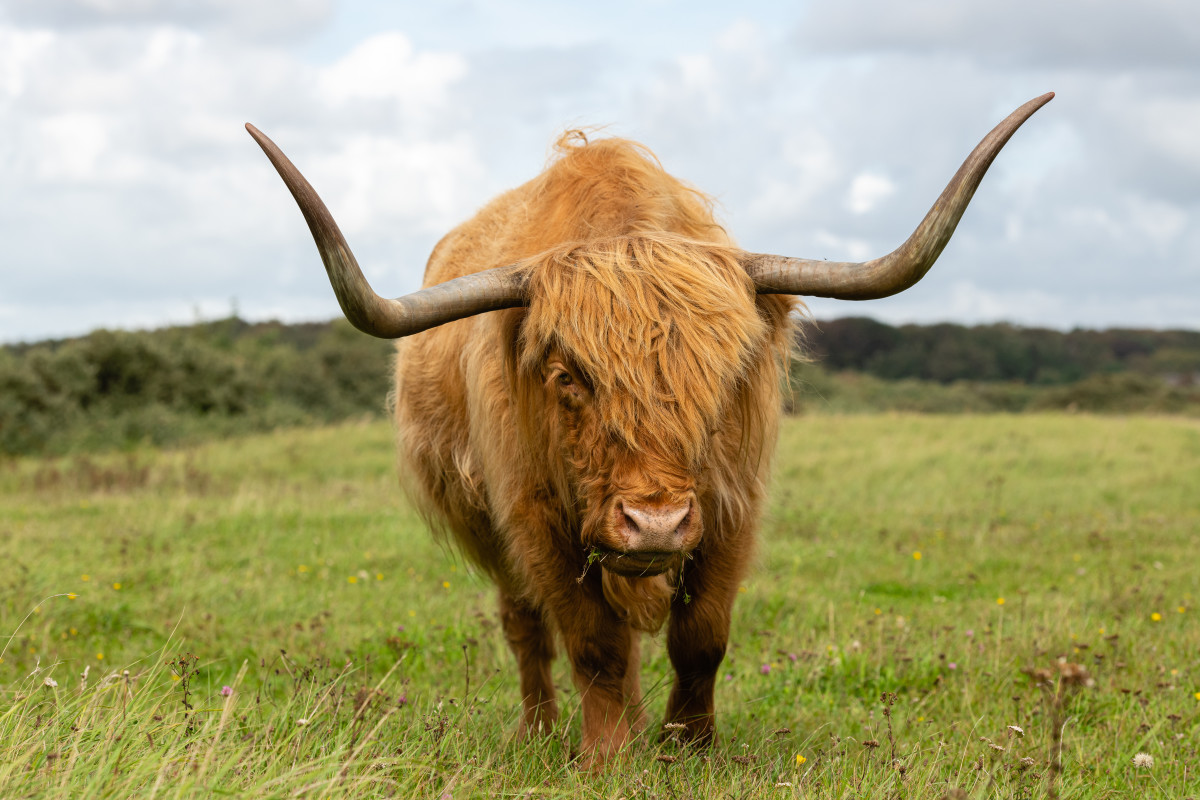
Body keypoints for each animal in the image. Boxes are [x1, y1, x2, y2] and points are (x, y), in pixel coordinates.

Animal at [246, 94, 1051, 767]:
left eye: (726, 372)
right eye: (566, 376)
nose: (654, 522)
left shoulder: (730, 507)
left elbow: (702, 636)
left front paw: (688, 745)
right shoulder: (537, 518)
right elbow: (592, 643)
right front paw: (606, 756)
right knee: (526, 627)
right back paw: (541, 730)